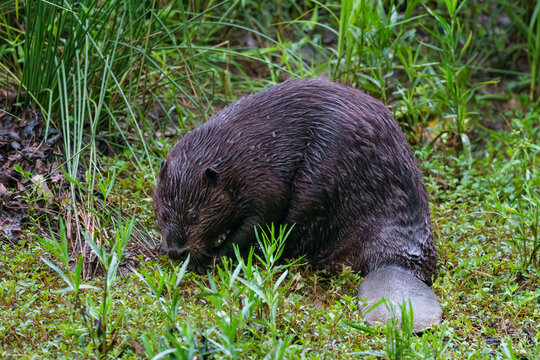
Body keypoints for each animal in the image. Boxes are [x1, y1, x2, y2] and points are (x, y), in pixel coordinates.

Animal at [154, 79, 440, 332]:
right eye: (164, 213)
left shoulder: (262, 178)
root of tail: (396, 263)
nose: (176, 251)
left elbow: (259, 218)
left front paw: (210, 258)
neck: (235, 152)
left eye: (193, 216)